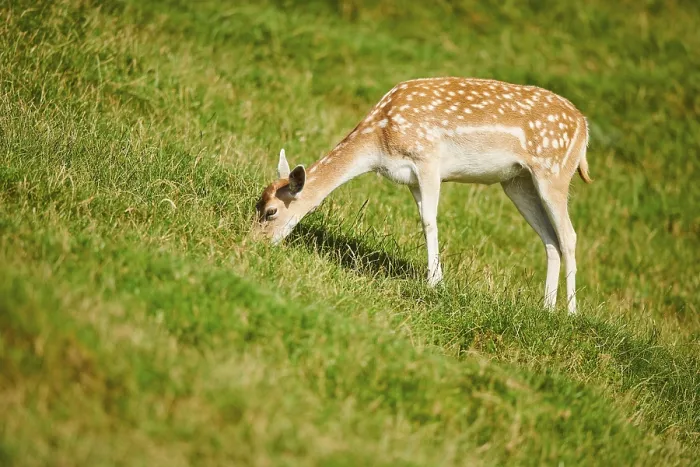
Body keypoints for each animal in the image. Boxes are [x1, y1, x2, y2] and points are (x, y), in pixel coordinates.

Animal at [253, 77, 592, 314]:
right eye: (257, 204)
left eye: (271, 211)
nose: (254, 244)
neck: (379, 140)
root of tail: (584, 127)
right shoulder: (411, 180)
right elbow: (422, 220)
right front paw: (436, 278)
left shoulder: (428, 159)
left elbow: (430, 221)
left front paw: (434, 283)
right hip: (517, 181)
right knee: (550, 238)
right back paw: (546, 307)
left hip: (553, 171)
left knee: (570, 235)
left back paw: (571, 312)